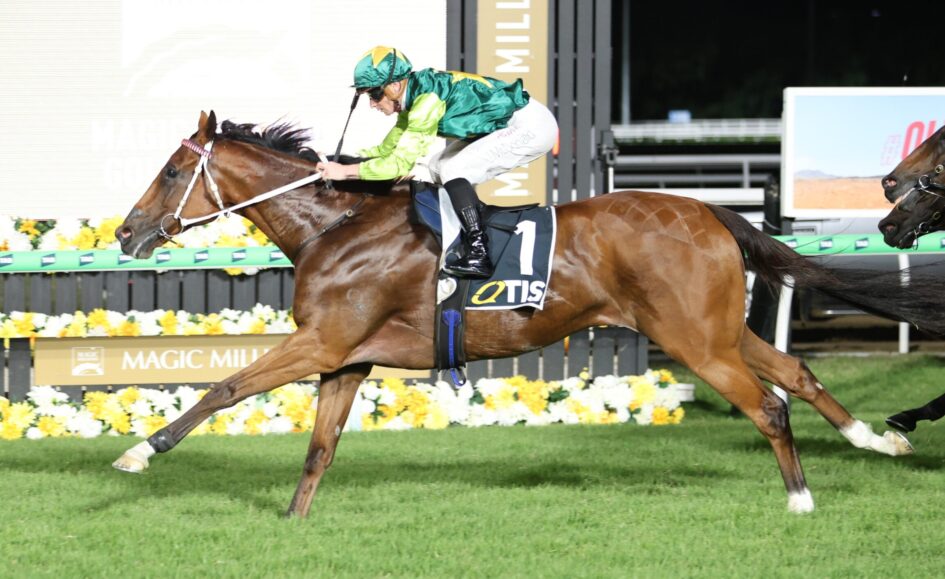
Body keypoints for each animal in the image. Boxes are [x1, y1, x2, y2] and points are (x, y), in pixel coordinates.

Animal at [112, 111, 945, 518]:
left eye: (175, 171)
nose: (125, 232)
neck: (336, 227)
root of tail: (709, 211)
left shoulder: (319, 342)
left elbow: (226, 387)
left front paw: (140, 452)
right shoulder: (346, 358)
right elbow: (319, 449)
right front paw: (292, 521)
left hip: (691, 339)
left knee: (768, 405)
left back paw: (801, 499)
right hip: (715, 327)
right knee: (795, 373)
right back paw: (875, 439)